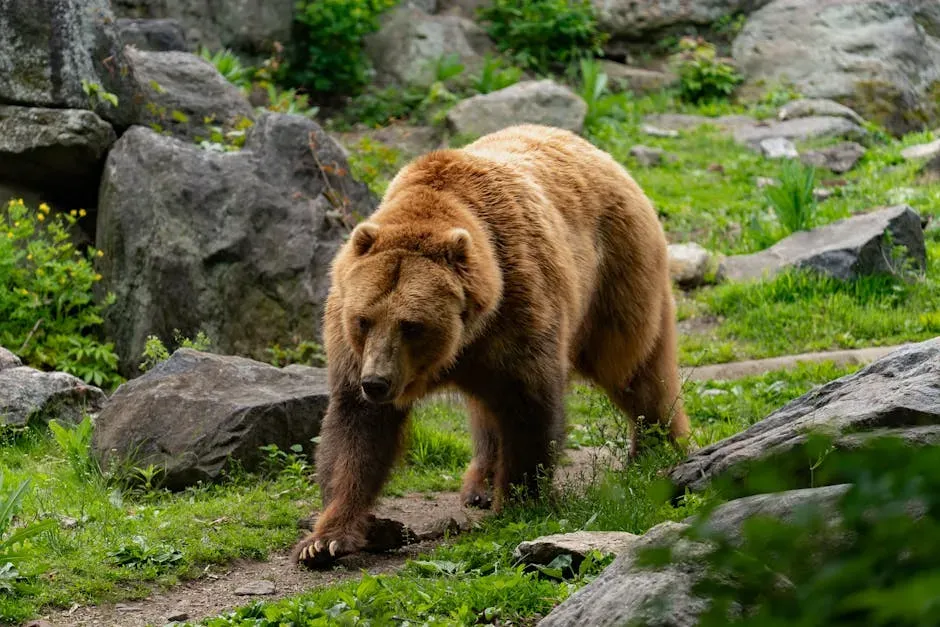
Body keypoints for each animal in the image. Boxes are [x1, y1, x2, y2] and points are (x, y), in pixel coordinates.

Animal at [293, 124, 691, 568]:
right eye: (364, 320)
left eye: (411, 325)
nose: (377, 382)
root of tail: (594, 150)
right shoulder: (351, 343)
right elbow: (356, 432)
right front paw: (325, 540)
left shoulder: (519, 308)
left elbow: (528, 406)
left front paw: (519, 502)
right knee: (486, 410)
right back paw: (480, 485)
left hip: (616, 276)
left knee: (635, 368)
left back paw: (656, 448)